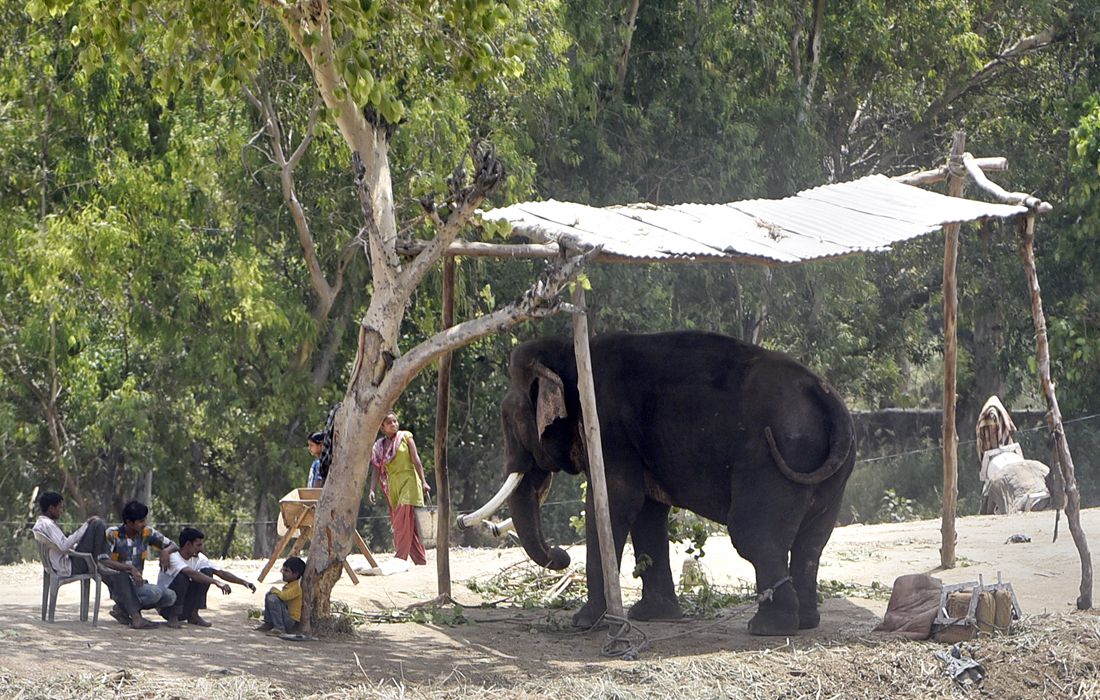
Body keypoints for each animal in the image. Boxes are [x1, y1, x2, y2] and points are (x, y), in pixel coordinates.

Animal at [486, 330, 855, 636]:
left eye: (508, 418)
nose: (561, 555)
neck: (568, 351)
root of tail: (826, 396)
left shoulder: (609, 430)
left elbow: (615, 502)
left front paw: (584, 623)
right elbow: (648, 512)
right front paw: (651, 616)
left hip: (777, 456)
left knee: (752, 534)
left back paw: (767, 628)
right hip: (830, 471)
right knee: (812, 543)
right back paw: (805, 622)